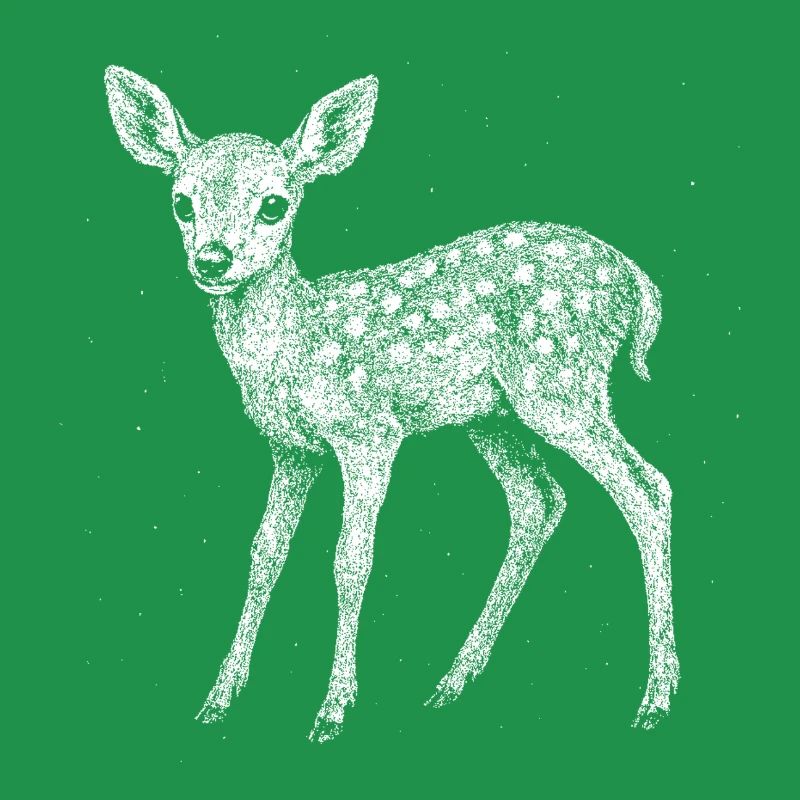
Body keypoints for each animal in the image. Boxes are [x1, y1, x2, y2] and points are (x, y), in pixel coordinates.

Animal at [104, 66, 679, 742]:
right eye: (182, 201)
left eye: (274, 203)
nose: (213, 260)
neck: (294, 343)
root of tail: (640, 285)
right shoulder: (291, 449)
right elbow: (264, 552)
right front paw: (219, 697)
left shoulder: (369, 432)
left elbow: (350, 559)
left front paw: (333, 708)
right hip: (494, 415)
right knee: (540, 501)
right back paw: (454, 681)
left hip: (561, 382)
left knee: (646, 487)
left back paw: (656, 697)